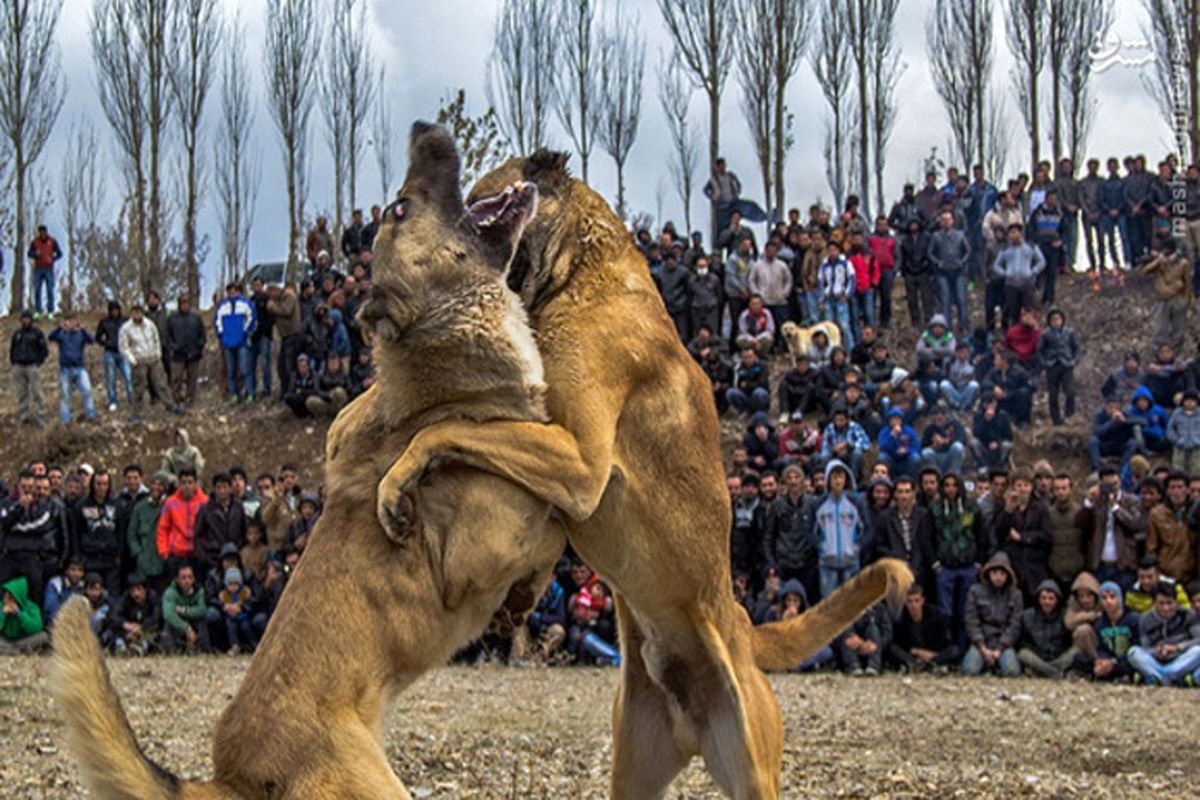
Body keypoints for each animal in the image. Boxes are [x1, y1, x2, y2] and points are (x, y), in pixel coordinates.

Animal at [49, 120, 564, 800]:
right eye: (400, 207)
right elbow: (553, 533)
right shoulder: (476, 557)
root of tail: (229, 778)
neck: (442, 386)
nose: (422, 128)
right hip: (374, 785)